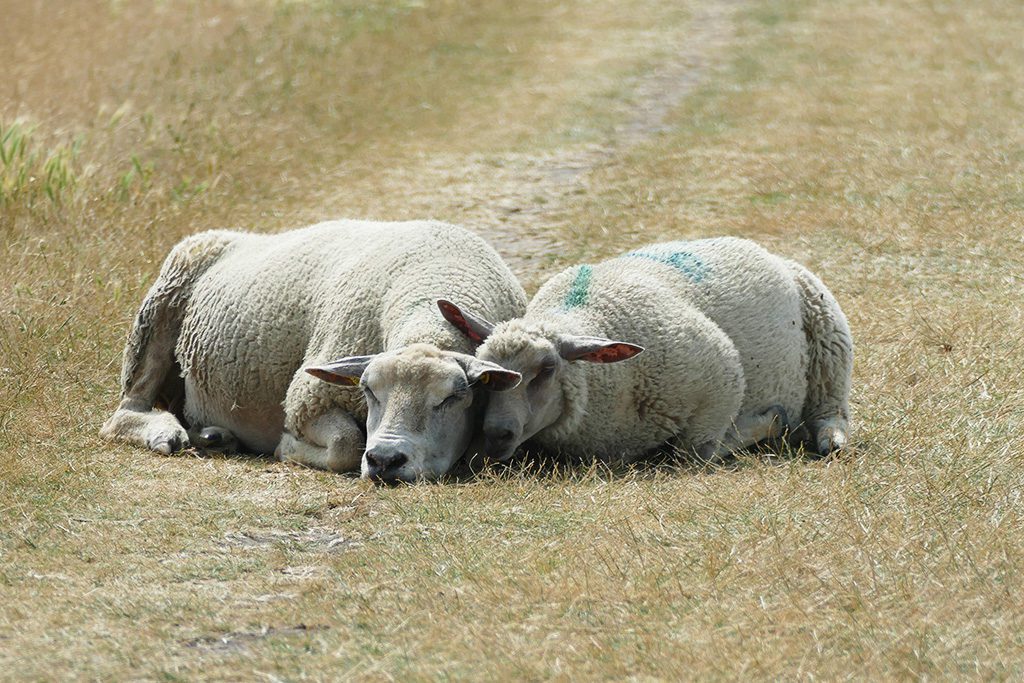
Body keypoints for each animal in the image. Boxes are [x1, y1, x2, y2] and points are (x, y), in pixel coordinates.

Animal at [99, 219, 528, 481]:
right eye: (368, 390)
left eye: (453, 398)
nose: (385, 460)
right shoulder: (307, 399)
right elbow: (346, 445)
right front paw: (288, 448)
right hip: (157, 316)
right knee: (122, 415)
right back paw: (164, 432)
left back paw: (213, 436)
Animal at [436, 235, 851, 464]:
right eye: (487, 375)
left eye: (548, 369)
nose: (496, 434)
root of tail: (761, 250)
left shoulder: (721, 378)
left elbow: (694, 452)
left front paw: (767, 424)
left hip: (829, 336)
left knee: (831, 410)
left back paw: (829, 438)